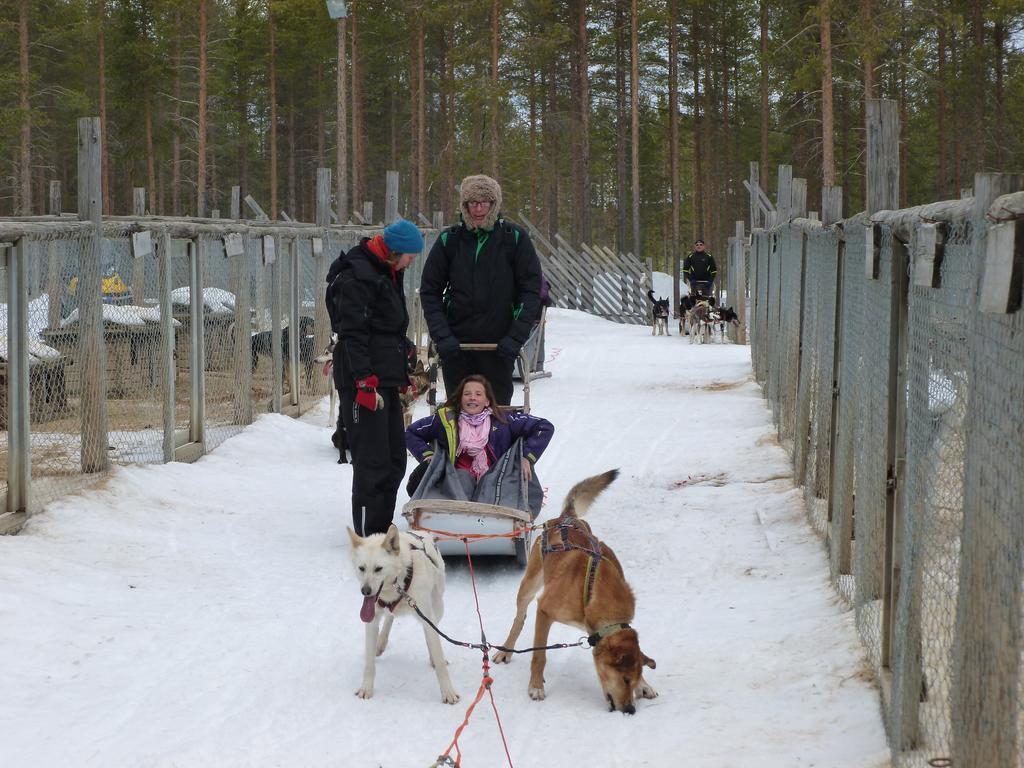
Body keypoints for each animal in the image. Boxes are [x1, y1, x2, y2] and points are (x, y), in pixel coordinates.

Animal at [346, 528, 458, 708]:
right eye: (361, 568)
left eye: (378, 568)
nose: (365, 591)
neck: (399, 582)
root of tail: (423, 532)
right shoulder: (371, 621)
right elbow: (369, 664)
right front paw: (366, 688)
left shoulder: (427, 616)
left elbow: (440, 661)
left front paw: (448, 692)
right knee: (390, 616)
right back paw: (380, 643)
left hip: (437, 608)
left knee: (430, 630)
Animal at [491, 468, 659, 716]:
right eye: (625, 680)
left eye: (633, 680)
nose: (630, 710)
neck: (592, 591)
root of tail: (565, 518)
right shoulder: (544, 611)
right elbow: (539, 655)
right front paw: (535, 686)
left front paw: (645, 686)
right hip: (529, 585)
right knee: (519, 619)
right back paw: (506, 650)